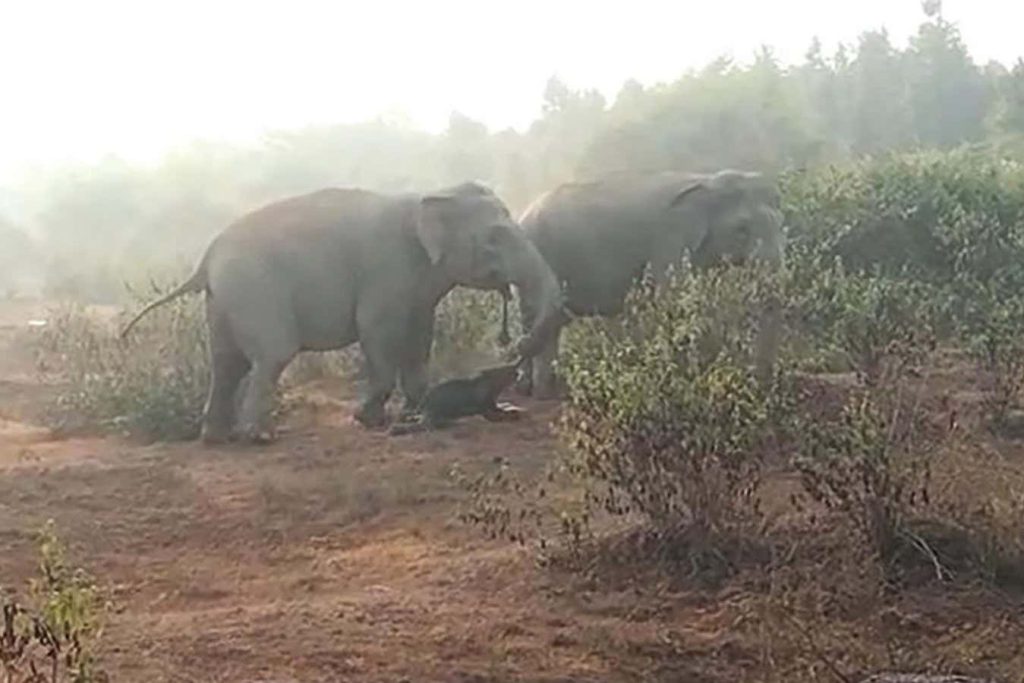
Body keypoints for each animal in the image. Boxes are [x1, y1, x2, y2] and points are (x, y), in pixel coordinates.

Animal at [123, 181, 569, 446]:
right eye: (495, 237)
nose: (512, 342)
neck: (431, 193)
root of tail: (207, 257)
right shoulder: (386, 268)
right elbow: (378, 331)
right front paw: (369, 419)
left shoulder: (418, 285)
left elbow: (419, 335)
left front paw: (412, 411)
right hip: (254, 290)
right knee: (271, 355)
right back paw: (259, 437)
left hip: (223, 300)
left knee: (226, 362)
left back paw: (215, 438)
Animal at [516, 167, 786, 397]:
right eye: (742, 230)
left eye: (780, 224)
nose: (763, 384)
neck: (707, 181)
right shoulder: (667, 244)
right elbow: (672, 300)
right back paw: (537, 391)